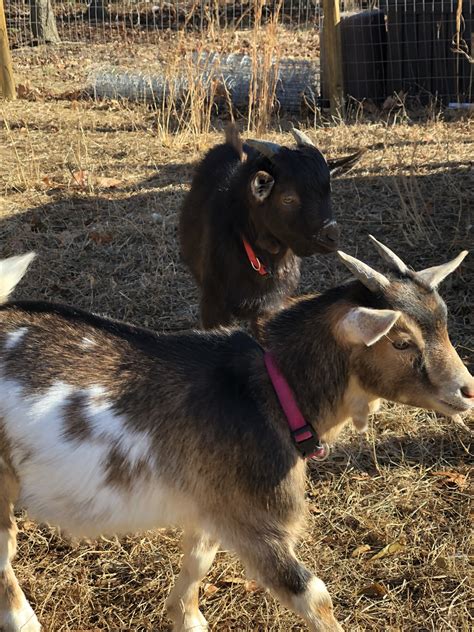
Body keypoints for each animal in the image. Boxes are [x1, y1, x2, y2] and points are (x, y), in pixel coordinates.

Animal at [0, 239, 474, 628]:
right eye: (401, 341)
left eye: (444, 323)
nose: (467, 390)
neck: (272, 389)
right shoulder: (256, 520)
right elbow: (314, 596)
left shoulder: (217, 502)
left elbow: (199, 558)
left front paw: (186, 618)